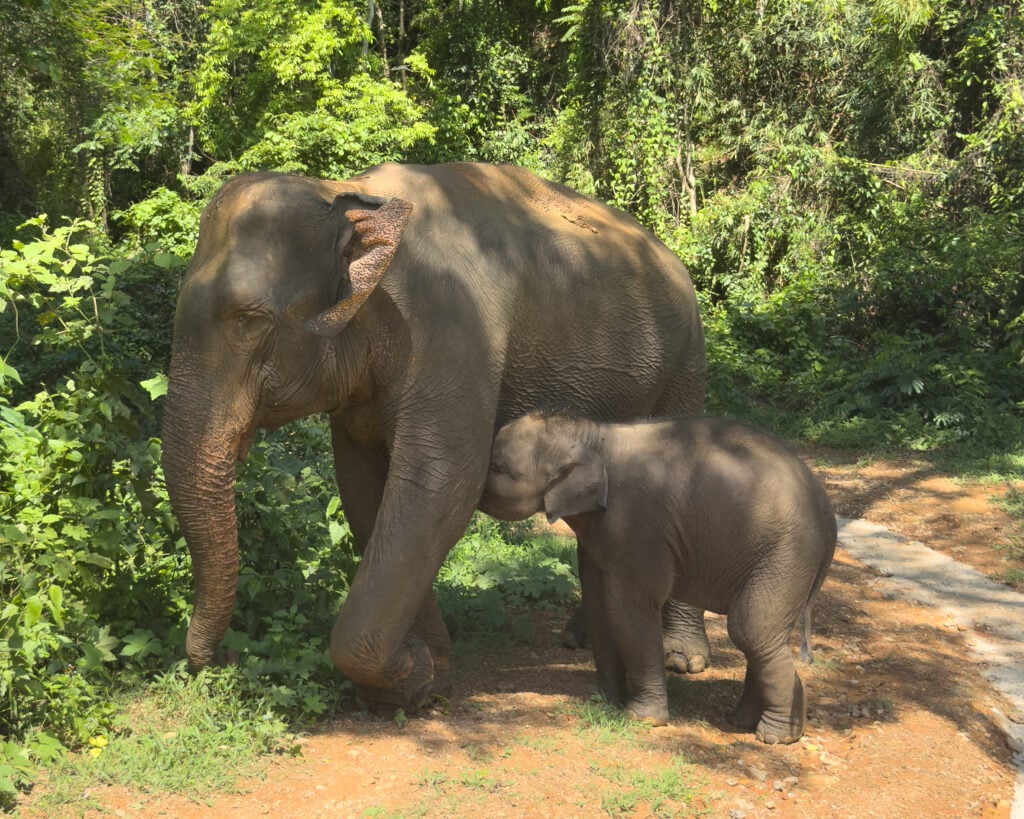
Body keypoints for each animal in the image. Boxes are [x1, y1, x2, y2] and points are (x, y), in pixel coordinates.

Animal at [161, 162, 707, 712]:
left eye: (249, 321)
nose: (226, 658)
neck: (348, 195)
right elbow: (365, 491)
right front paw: (425, 674)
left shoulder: (453, 331)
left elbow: (440, 485)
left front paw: (412, 675)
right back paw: (580, 638)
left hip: (685, 360)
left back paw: (682, 658)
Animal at [478, 411, 837, 744]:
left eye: (497, 465)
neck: (596, 436)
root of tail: (828, 513)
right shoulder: (598, 536)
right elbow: (599, 603)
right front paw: (602, 701)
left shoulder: (636, 525)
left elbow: (630, 609)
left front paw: (642, 719)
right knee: (765, 636)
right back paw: (746, 721)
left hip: (788, 554)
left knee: (752, 629)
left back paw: (775, 735)